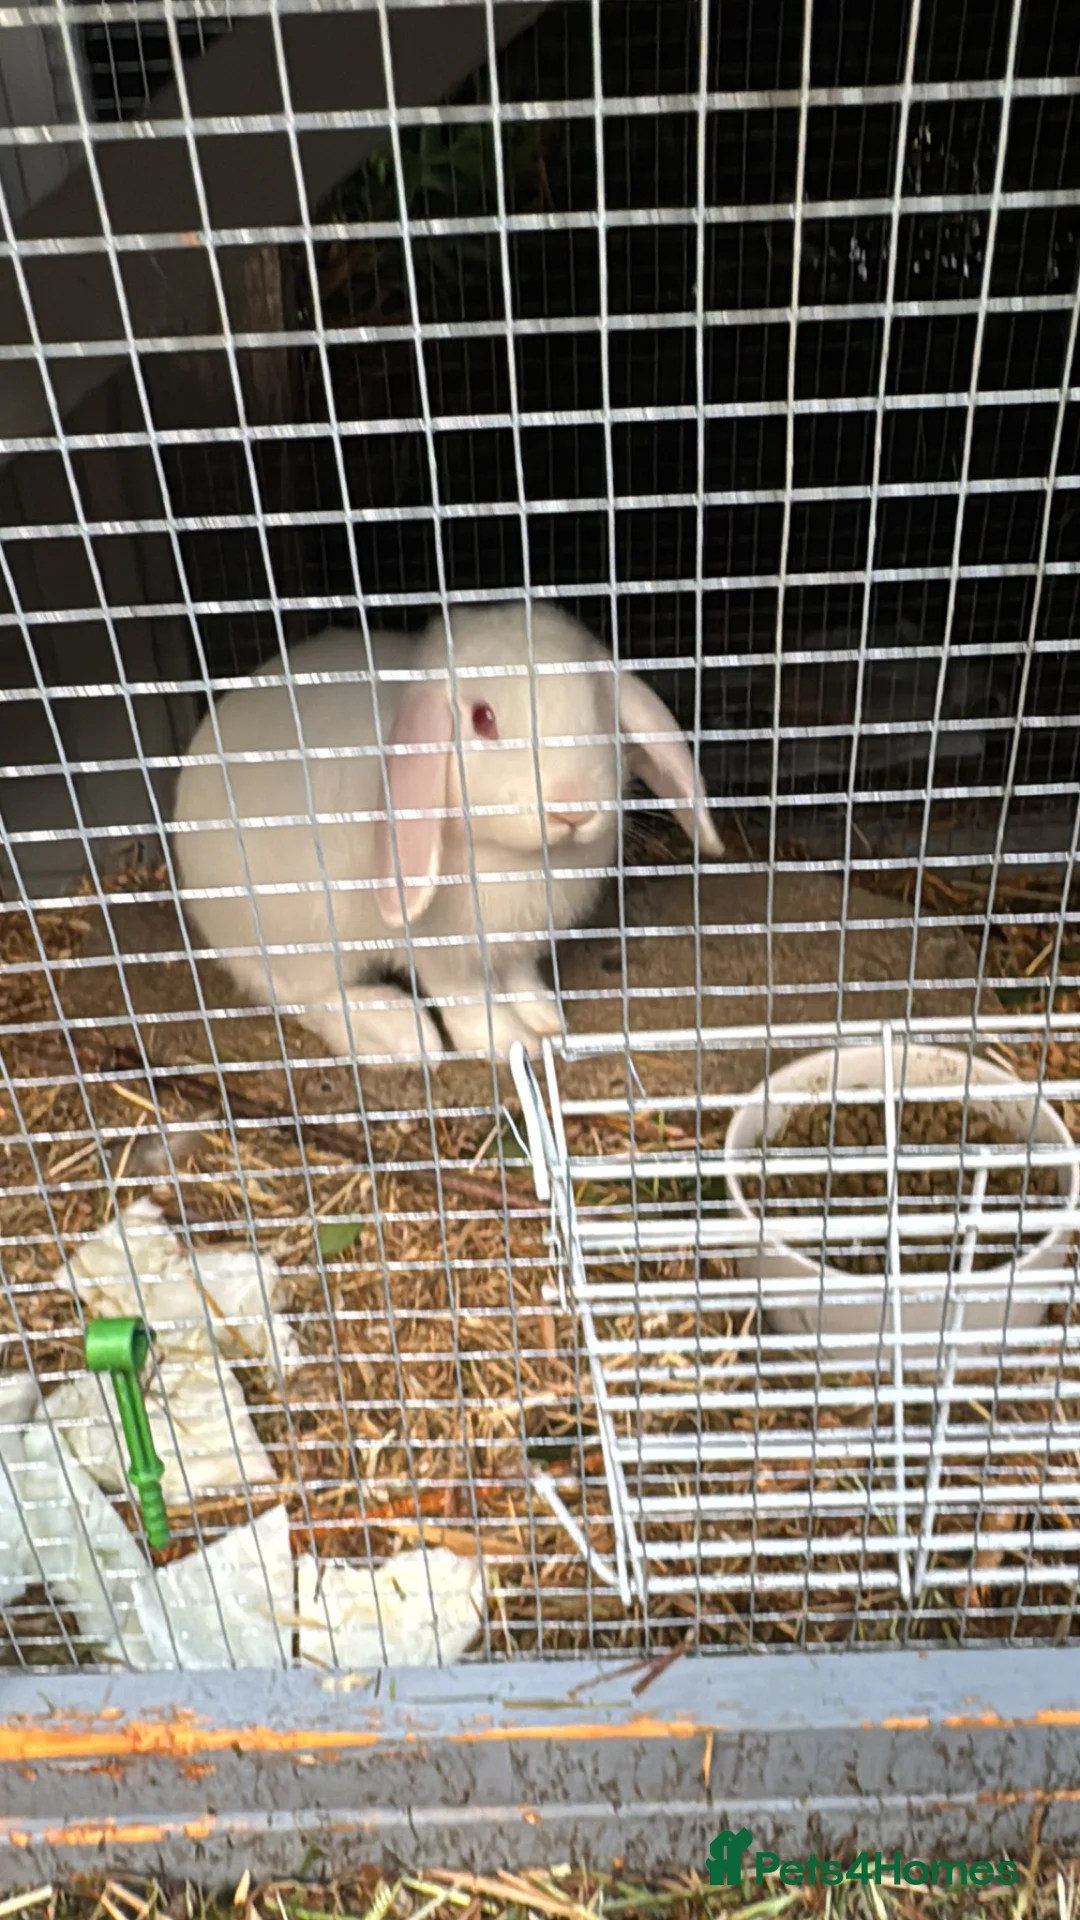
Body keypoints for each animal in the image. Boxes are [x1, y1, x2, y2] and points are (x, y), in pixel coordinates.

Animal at [170, 601, 724, 1063]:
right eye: (482, 718)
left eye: (599, 705)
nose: (572, 808)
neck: (512, 857)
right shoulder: (443, 952)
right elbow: (469, 1000)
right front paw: (510, 1042)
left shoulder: (518, 944)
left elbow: (519, 977)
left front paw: (546, 1019)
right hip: (296, 943)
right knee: (306, 998)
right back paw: (402, 1036)